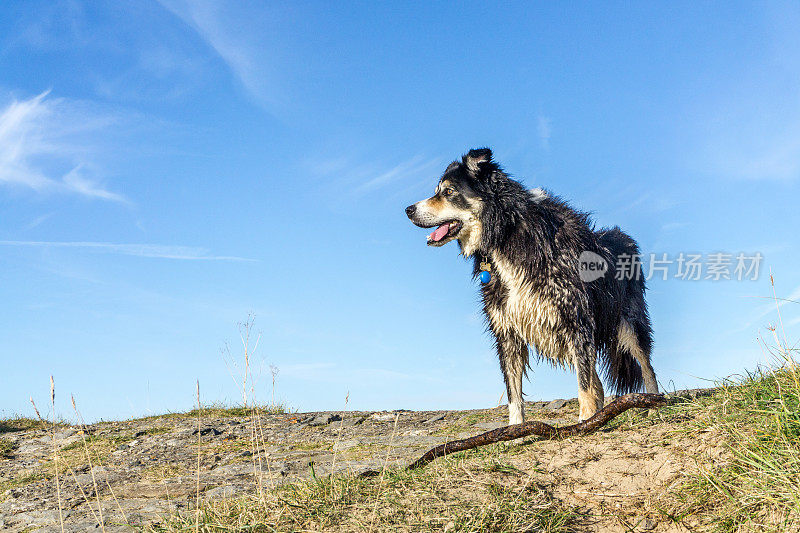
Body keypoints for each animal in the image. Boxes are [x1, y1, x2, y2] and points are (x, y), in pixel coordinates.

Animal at [406, 149, 656, 424]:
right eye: (437, 190)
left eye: (448, 191)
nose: (408, 210)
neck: (504, 233)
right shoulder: (506, 329)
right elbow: (513, 392)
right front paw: (516, 429)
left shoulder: (576, 319)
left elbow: (584, 384)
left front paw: (586, 421)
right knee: (598, 381)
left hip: (630, 322)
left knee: (646, 367)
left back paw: (654, 404)